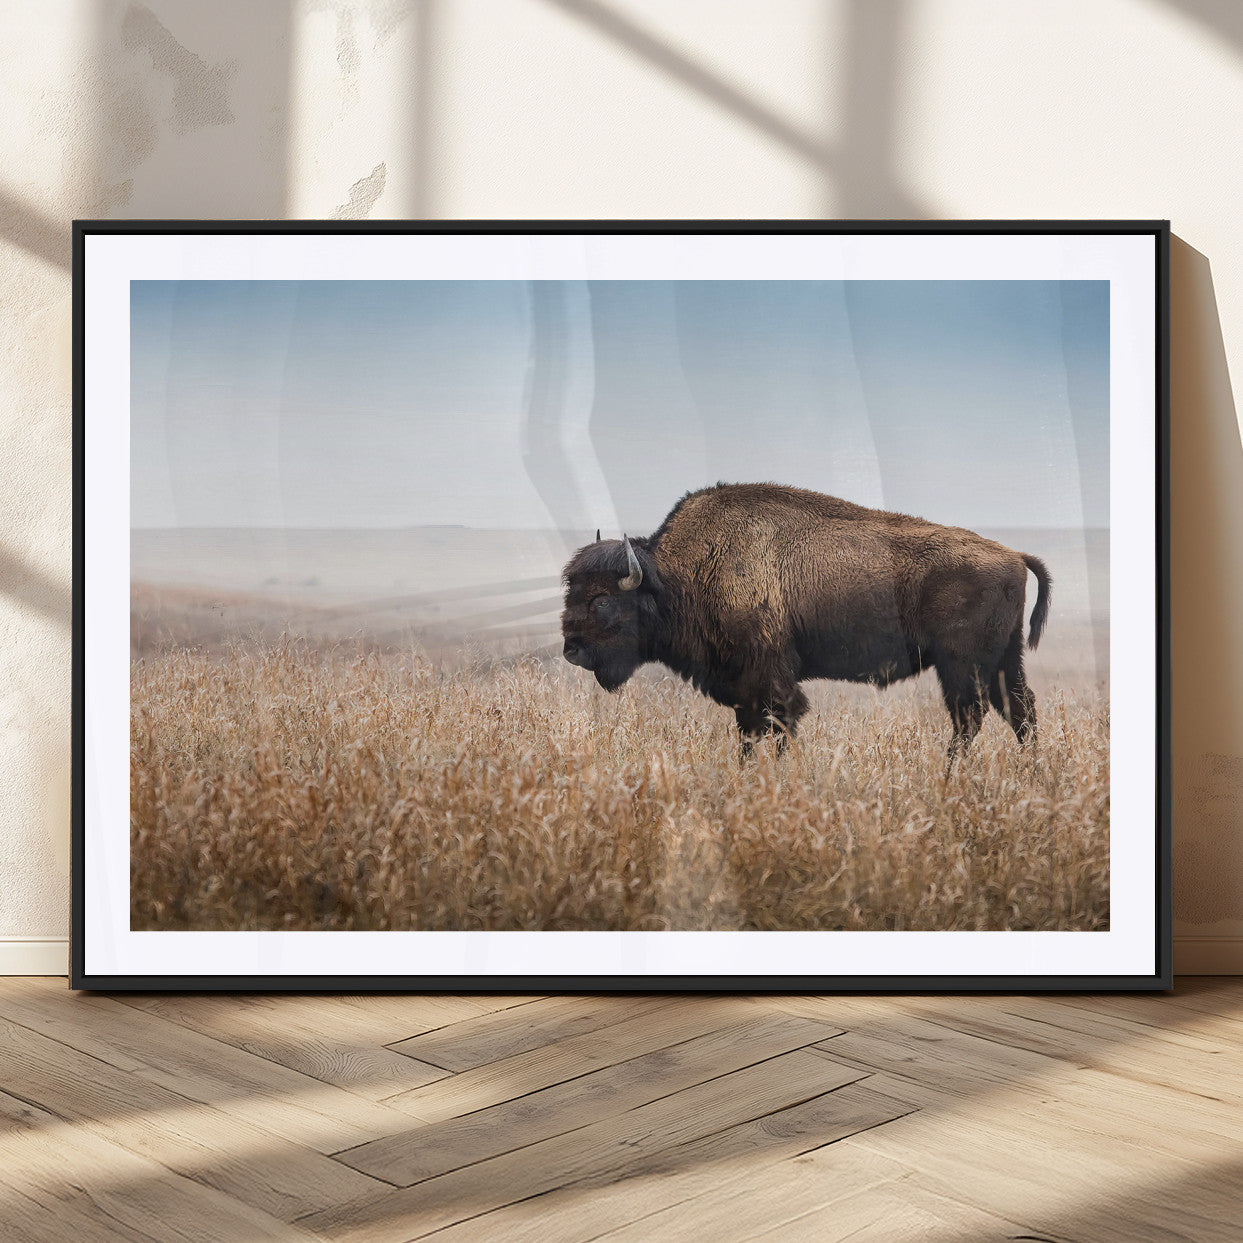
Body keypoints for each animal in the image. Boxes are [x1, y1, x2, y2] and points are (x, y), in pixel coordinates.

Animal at [560, 483, 1051, 760]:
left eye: (602, 600)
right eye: (571, 590)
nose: (571, 649)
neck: (677, 575)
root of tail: (1013, 555)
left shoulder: (770, 681)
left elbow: (778, 726)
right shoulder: (744, 691)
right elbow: (749, 736)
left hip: (962, 666)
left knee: (970, 718)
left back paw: (950, 777)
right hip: (1003, 661)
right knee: (1020, 712)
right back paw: (1032, 776)